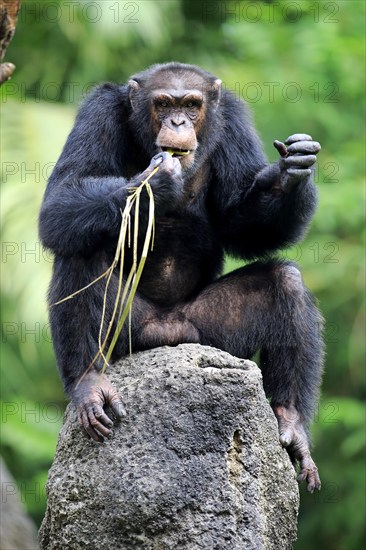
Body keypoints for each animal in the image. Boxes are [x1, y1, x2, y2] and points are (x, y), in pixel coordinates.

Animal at [39, 62, 324, 494]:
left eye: (191, 104)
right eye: (163, 104)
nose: (178, 121)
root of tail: (168, 330)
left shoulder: (234, 121)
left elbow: (241, 221)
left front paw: (290, 172)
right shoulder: (96, 112)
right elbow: (61, 198)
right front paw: (155, 182)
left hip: (213, 335)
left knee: (285, 280)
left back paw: (291, 422)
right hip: (130, 332)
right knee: (80, 249)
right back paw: (88, 382)